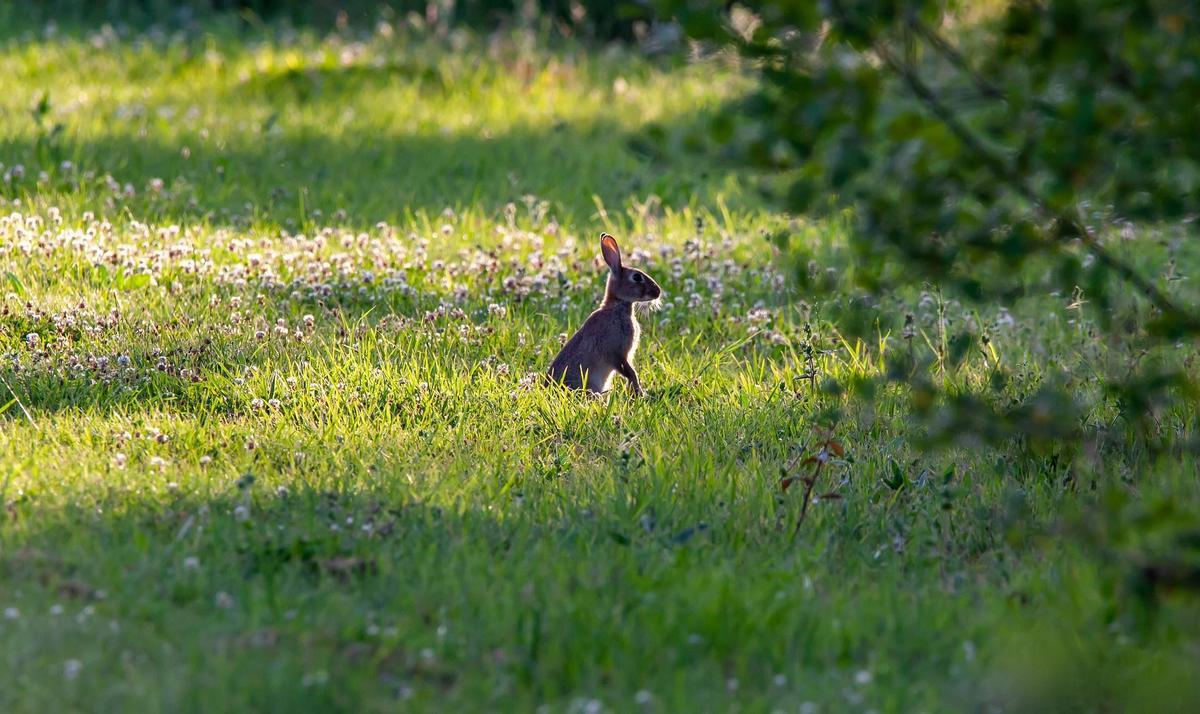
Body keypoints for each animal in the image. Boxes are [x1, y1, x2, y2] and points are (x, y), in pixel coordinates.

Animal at [549, 231, 662, 393]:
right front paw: (639, 392)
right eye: (636, 277)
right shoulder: (616, 353)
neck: (617, 306)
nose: (658, 291)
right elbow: (630, 372)